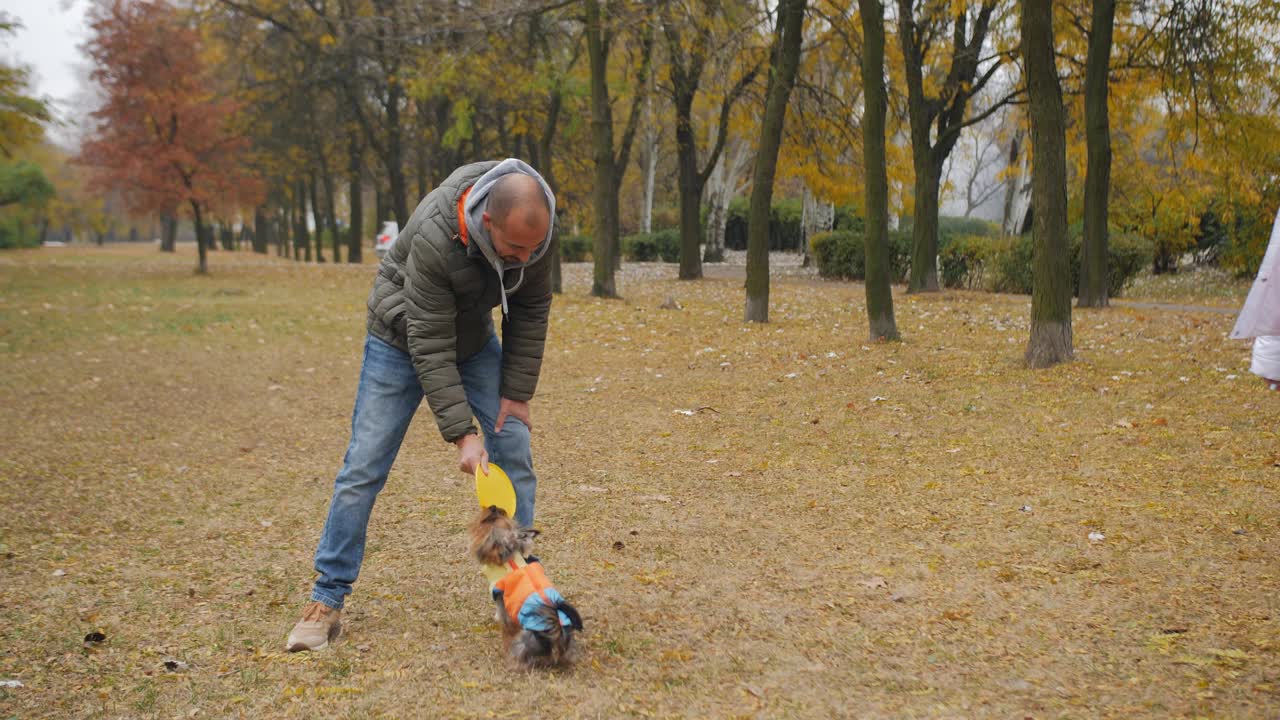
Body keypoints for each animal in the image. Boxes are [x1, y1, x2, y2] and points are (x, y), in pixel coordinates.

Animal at [468, 504, 583, 666]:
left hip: (524, 641)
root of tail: (556, 628)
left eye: (486, 522)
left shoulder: (501, 602)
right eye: (501, 513)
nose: (494, 507)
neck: (511, 563)